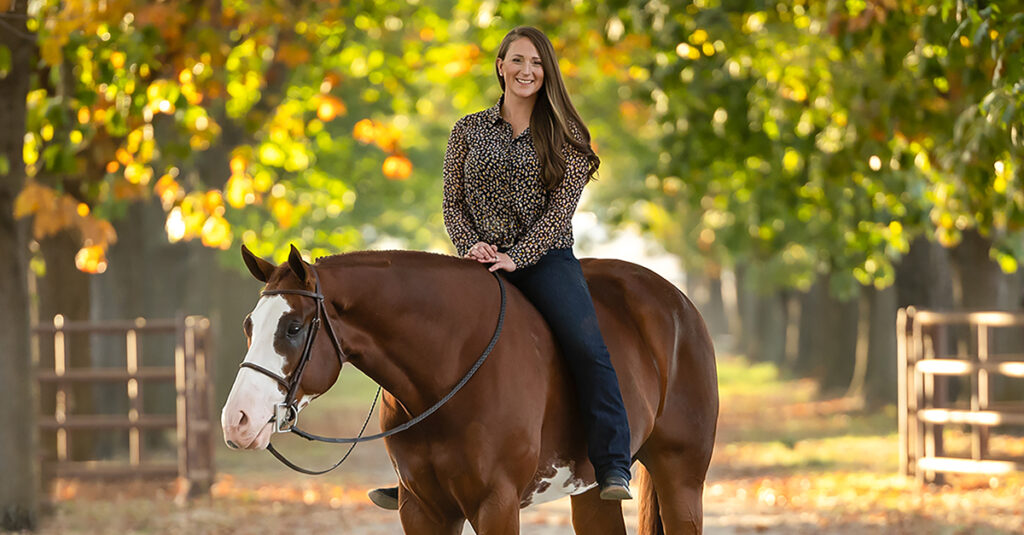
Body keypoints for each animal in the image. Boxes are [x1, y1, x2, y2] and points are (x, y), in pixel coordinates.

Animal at [222, 243, 720, 528]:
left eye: (292, 328)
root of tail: (678, 304)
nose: (237, 420)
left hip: (681, 480)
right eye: (248, 326)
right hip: (592, 492)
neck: (449, 368)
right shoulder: (422, 509)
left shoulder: (495, 504)